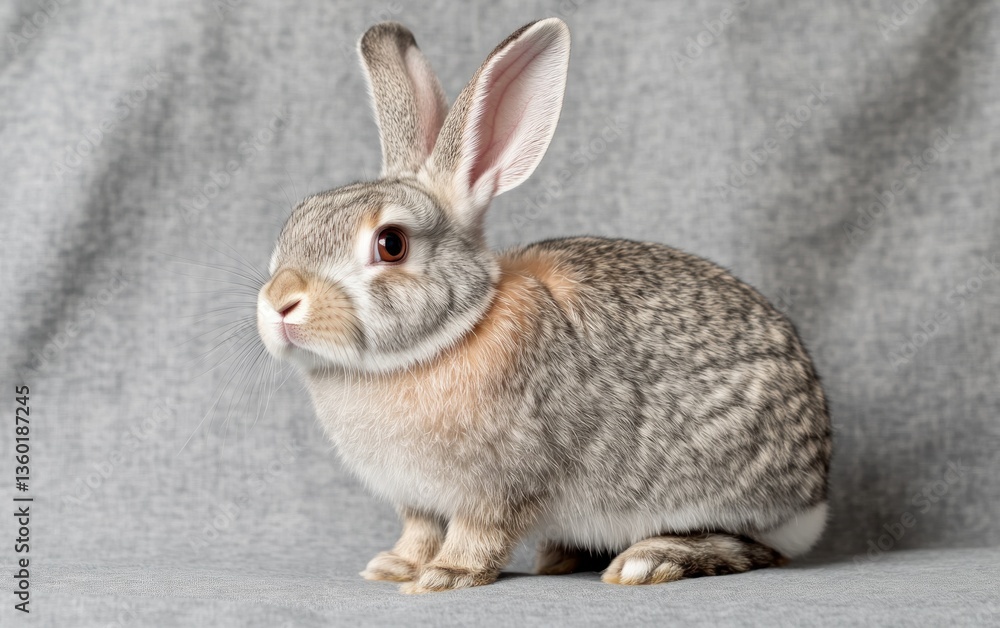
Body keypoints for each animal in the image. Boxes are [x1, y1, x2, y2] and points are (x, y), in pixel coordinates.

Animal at [255, 18, 832, 594]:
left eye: (391, 244)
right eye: (295, 222)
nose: (280, 304)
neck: (446, 338)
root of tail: (817, 496)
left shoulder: (499, 485)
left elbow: (477, 533)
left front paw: (444, 575)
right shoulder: (417, 500)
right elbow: (419, 530)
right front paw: (394, 566)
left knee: (752, 547)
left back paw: (648, 560)